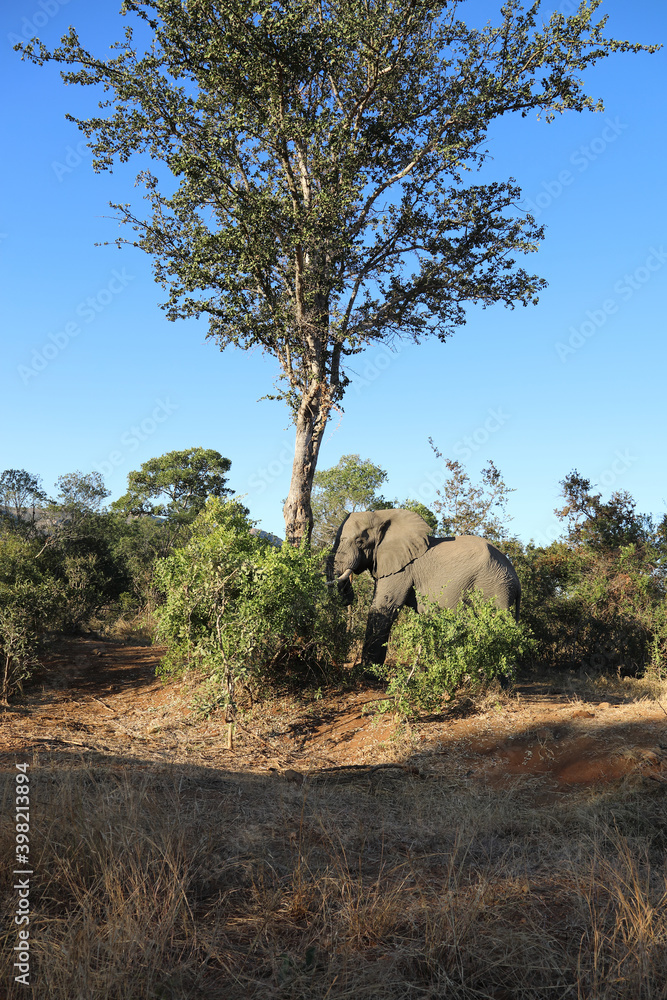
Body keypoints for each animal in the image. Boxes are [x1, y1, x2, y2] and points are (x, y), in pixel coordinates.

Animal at [327, 508, 521, 666]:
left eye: (359, 541)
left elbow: (384, 606)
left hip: (495, 587)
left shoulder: (402, 569)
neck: (383, 515)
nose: (348, 592)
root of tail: (516, 579)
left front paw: (366, 671)